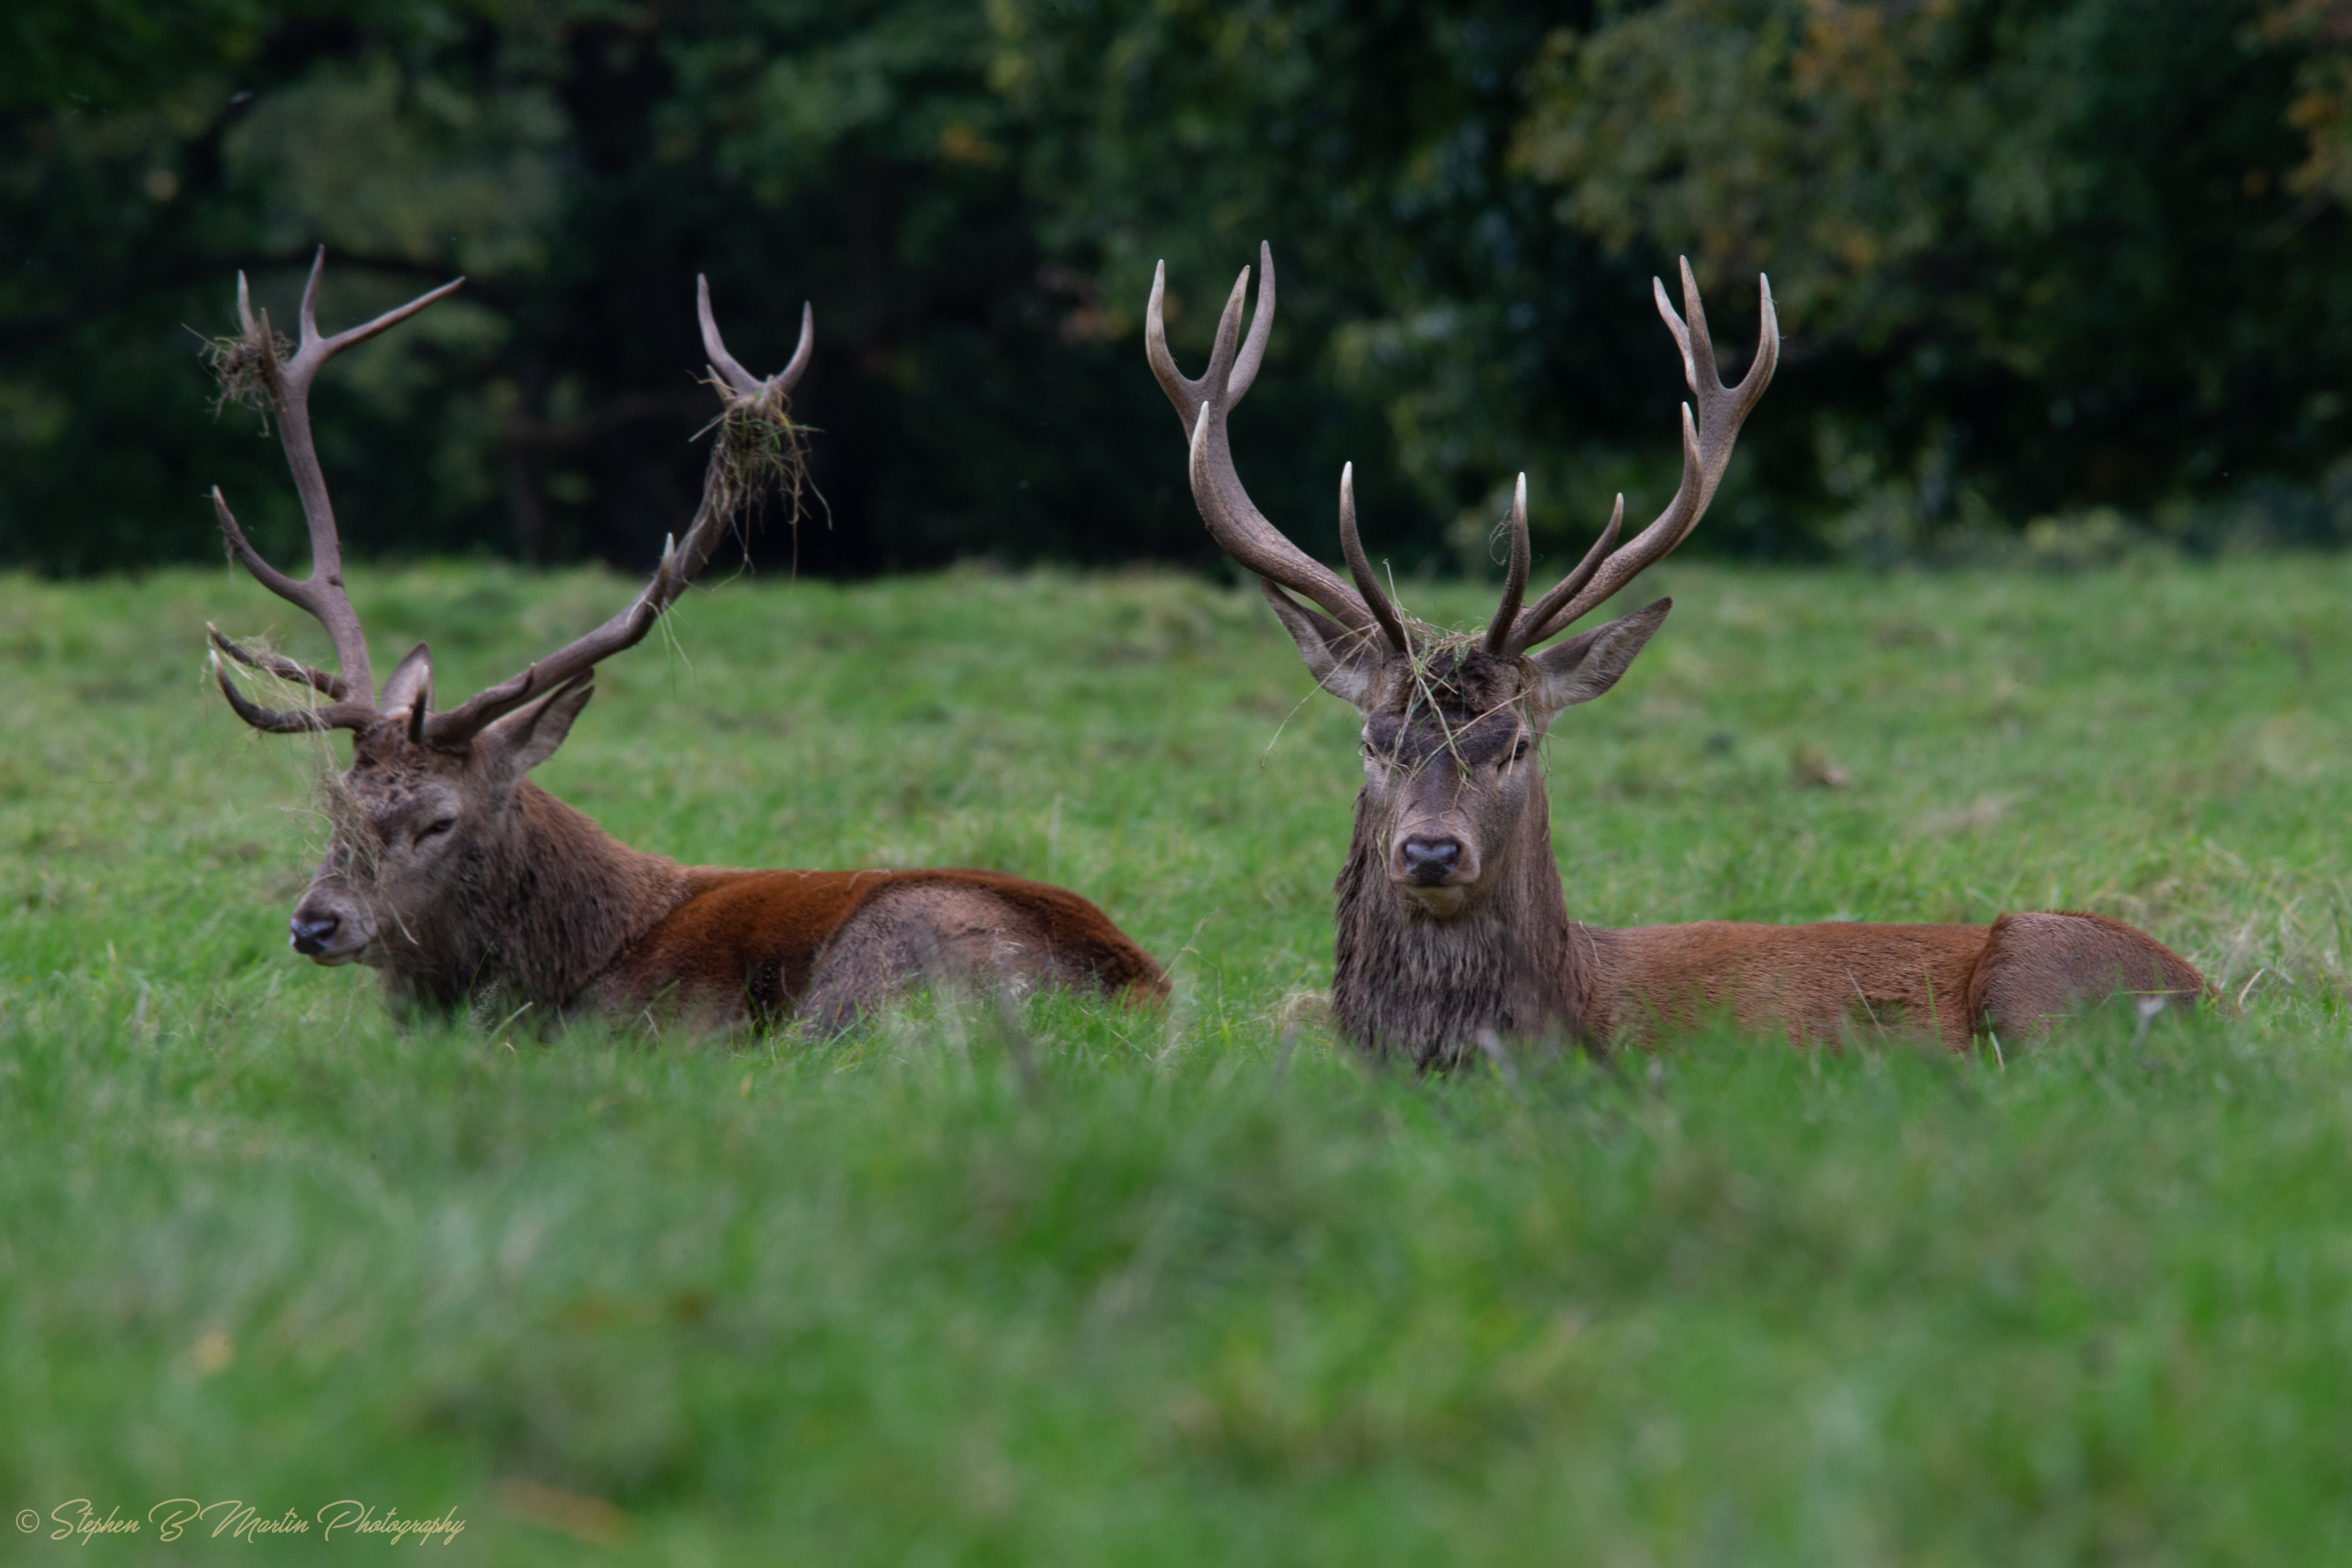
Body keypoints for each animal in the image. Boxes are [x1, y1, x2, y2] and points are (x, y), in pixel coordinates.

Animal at [203, 251, 1166, 1031]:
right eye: (336, 805)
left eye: (439, 819)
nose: (315, 921)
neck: (566, 963)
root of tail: (1139, 991)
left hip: (879, 962)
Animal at [1147, 245, 2207, 1068]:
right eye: (1372, 740)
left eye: (1517, 743)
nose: (1431, 850)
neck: (1564, 1013)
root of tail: (2213, 1003)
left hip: (2039, 964)